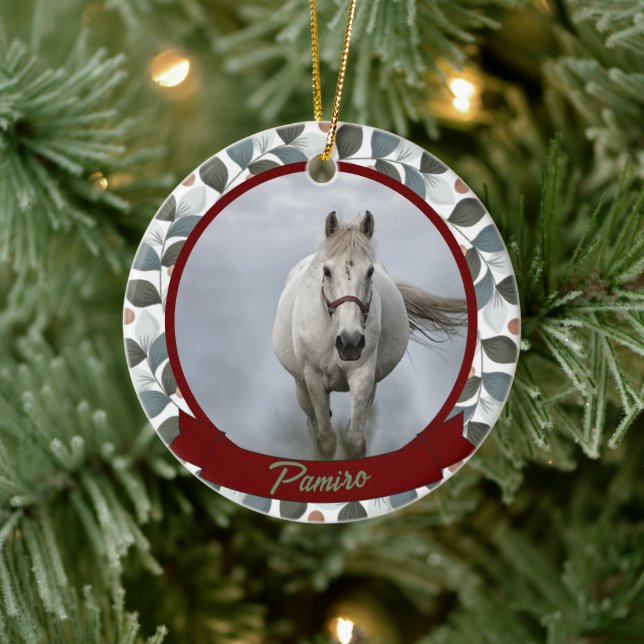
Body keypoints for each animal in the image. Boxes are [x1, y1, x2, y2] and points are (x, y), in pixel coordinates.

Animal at [272, 211, 466, 459]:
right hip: (301, 386)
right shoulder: (313, 378)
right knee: (313, 426)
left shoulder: (363, 375)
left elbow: (353, 440)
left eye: (370, 271)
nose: (350, 342)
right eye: (326, 271)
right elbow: (325, 441)